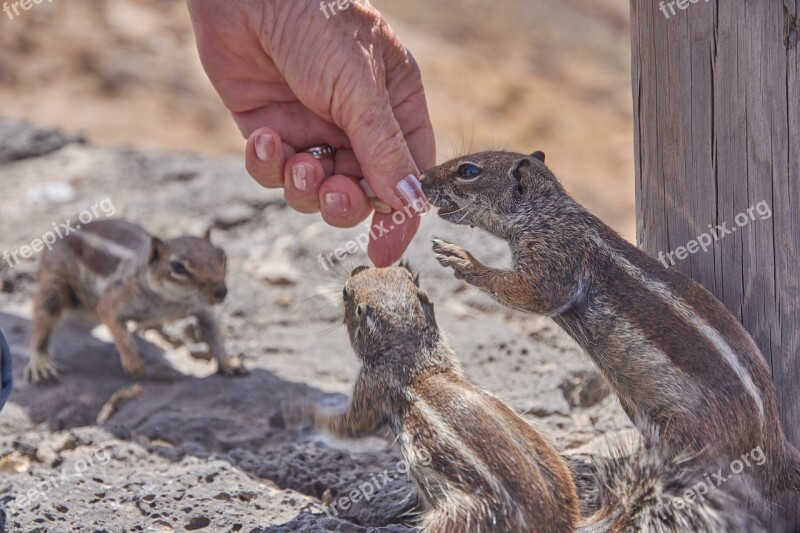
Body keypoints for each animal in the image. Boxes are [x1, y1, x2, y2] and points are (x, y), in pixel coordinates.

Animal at [25, 217, 244, 382]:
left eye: (223, 257)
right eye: (178, 267)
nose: (221, 292)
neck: (171, 302)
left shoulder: (205, 310)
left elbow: (215, 336)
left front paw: (229, 364)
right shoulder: (115, 298)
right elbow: (115, 326)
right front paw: (133, 364)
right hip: (54, 283)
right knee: (42, 320)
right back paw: (41, 363)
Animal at [306, 266, 764, 532]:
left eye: (347, 293)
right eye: (403, 272)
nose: (358, 265)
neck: (419, 360)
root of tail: (564, 525)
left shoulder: (371, 387)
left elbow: (350, 423)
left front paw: (308, 414)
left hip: (461, 516)